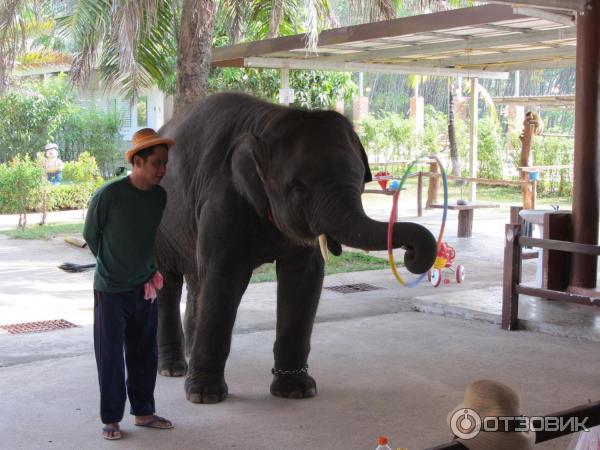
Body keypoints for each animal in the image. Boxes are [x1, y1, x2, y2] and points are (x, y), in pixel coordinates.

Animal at [155, 92, 436, 404]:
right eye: (299, 187)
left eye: (361, 179)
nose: (412, 253)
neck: (266, 121)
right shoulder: (222, 198)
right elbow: (223, 276)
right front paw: (204, 396)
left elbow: (303, 280)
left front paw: (298, 390)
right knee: (169, 283)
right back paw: (173, 369)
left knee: (195, 279)